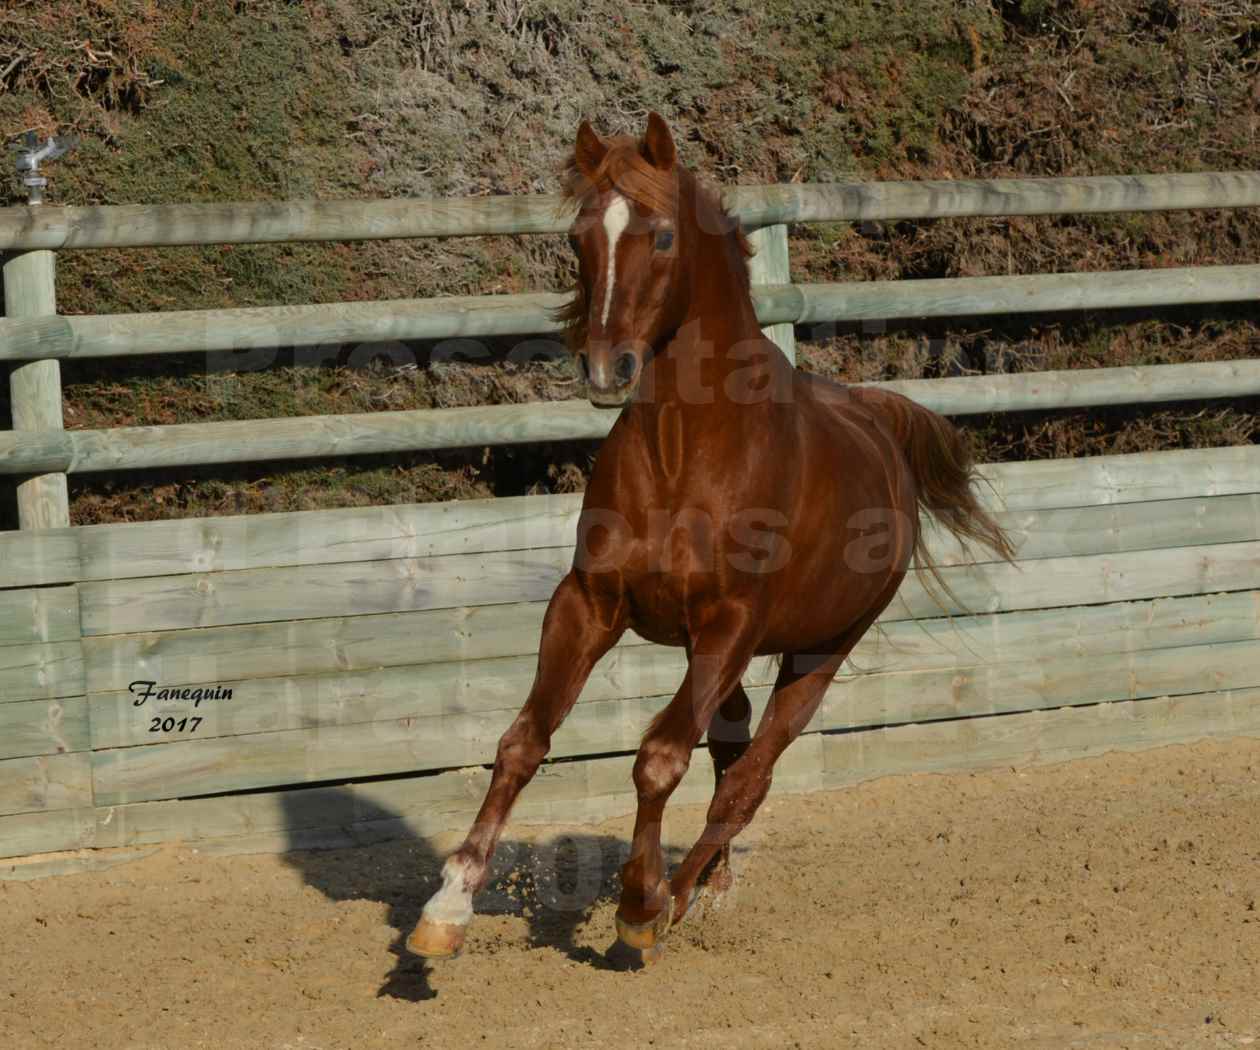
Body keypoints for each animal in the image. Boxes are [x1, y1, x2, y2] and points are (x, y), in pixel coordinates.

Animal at [408, 114, 1018, 957]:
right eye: (577, 237)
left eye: (663, 236)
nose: (606, 367)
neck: (684, 452)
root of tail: (879, 419)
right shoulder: (589, 605)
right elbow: (524, 741)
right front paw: (448, 905)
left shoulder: (730, 623)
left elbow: (659, 759)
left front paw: (638, 905)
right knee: (731, 754)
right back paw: (712, 888)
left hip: (820, 650)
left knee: (748, 780)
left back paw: (677, 897)